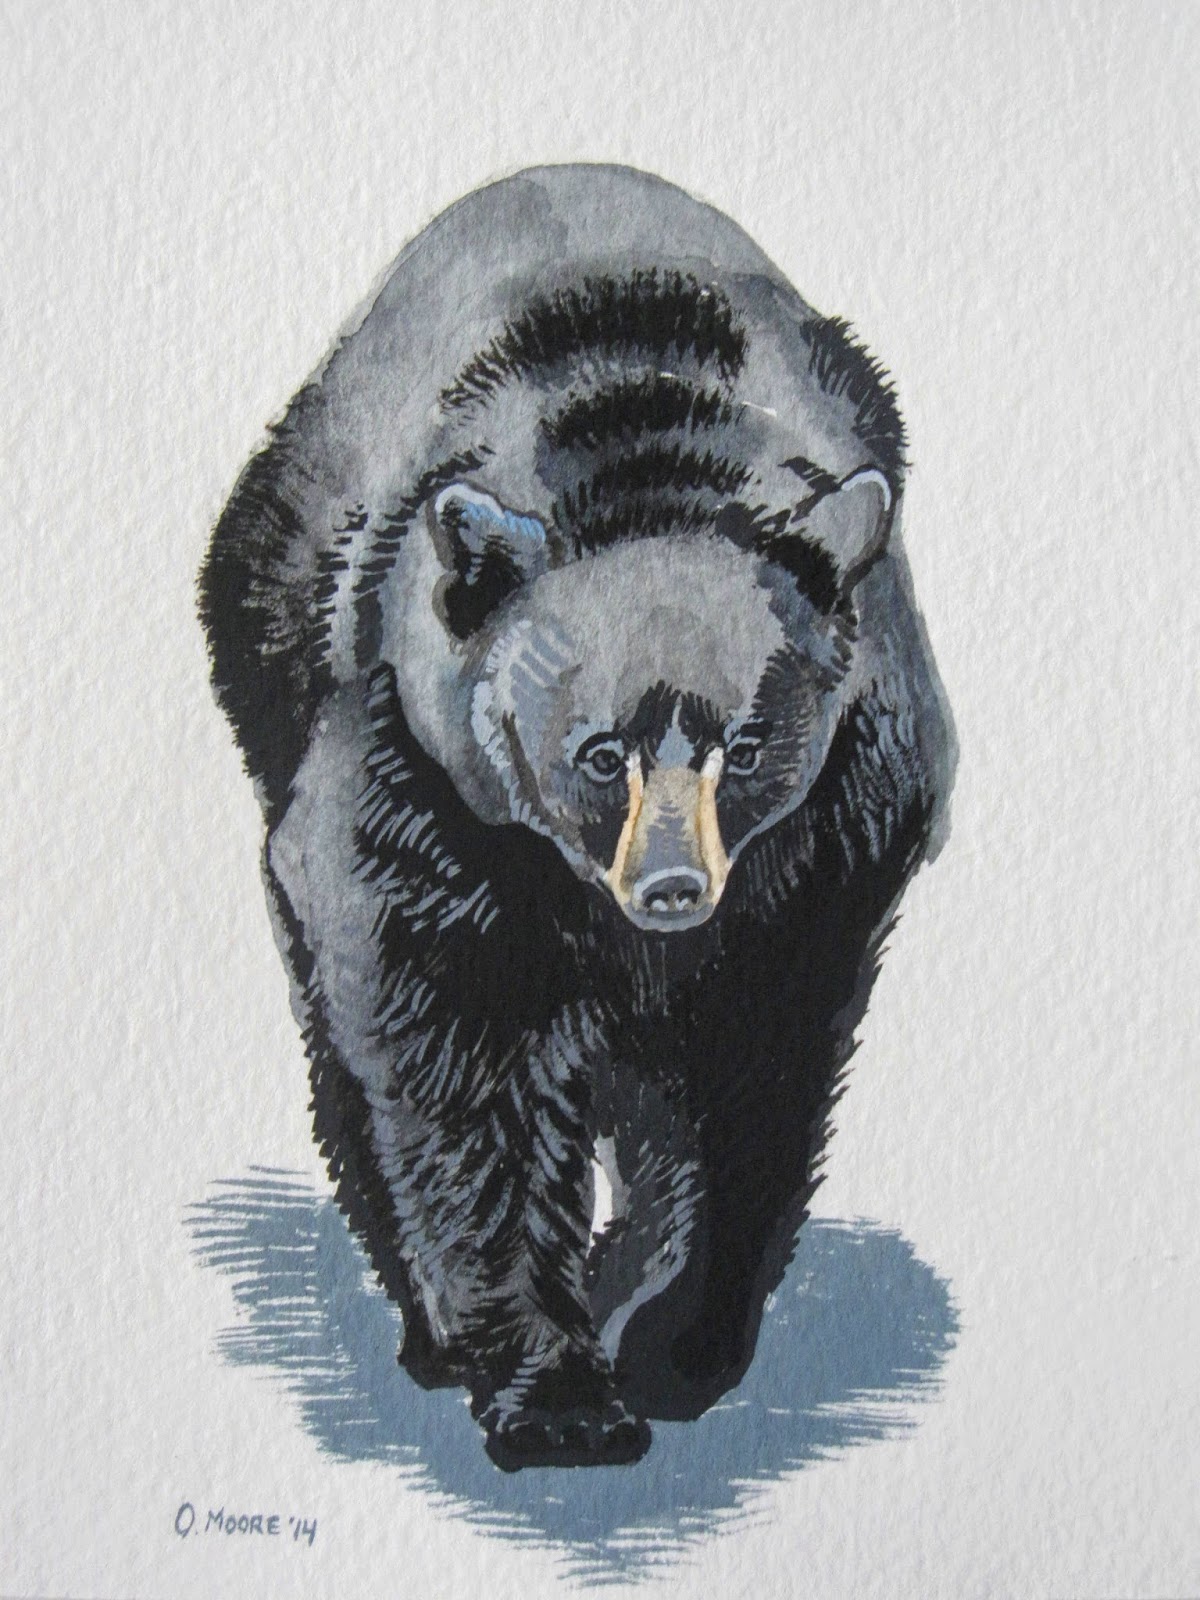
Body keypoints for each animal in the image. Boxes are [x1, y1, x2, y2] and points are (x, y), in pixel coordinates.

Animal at [199, 164, 955, 1471]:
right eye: (598, 754)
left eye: (747, 746)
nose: (672, 888)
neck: (649, 461)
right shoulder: (415, 774)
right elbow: (449, 1056)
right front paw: (553, 1393)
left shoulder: (841, 828)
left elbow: (758, 1071)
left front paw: (675, 1338)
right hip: (270, 642)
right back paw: (430, 1329)